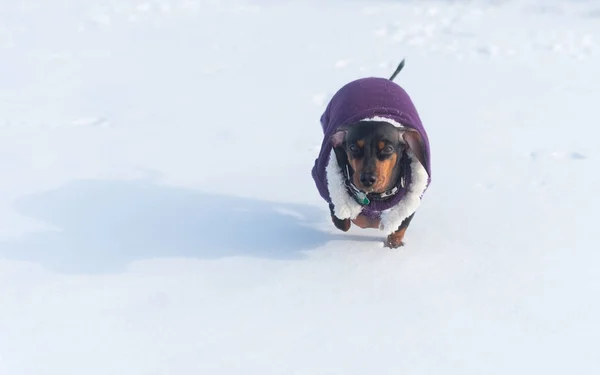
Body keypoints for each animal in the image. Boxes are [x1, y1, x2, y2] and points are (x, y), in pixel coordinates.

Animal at [310, 61, 432, 250]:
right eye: (353, 147)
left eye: (388, 149)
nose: (367, 179)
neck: (376, 198)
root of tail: (376, 79)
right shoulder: (328, 187)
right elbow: (344, 221)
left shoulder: (414, 197)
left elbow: (400, 224)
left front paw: (393, 243)